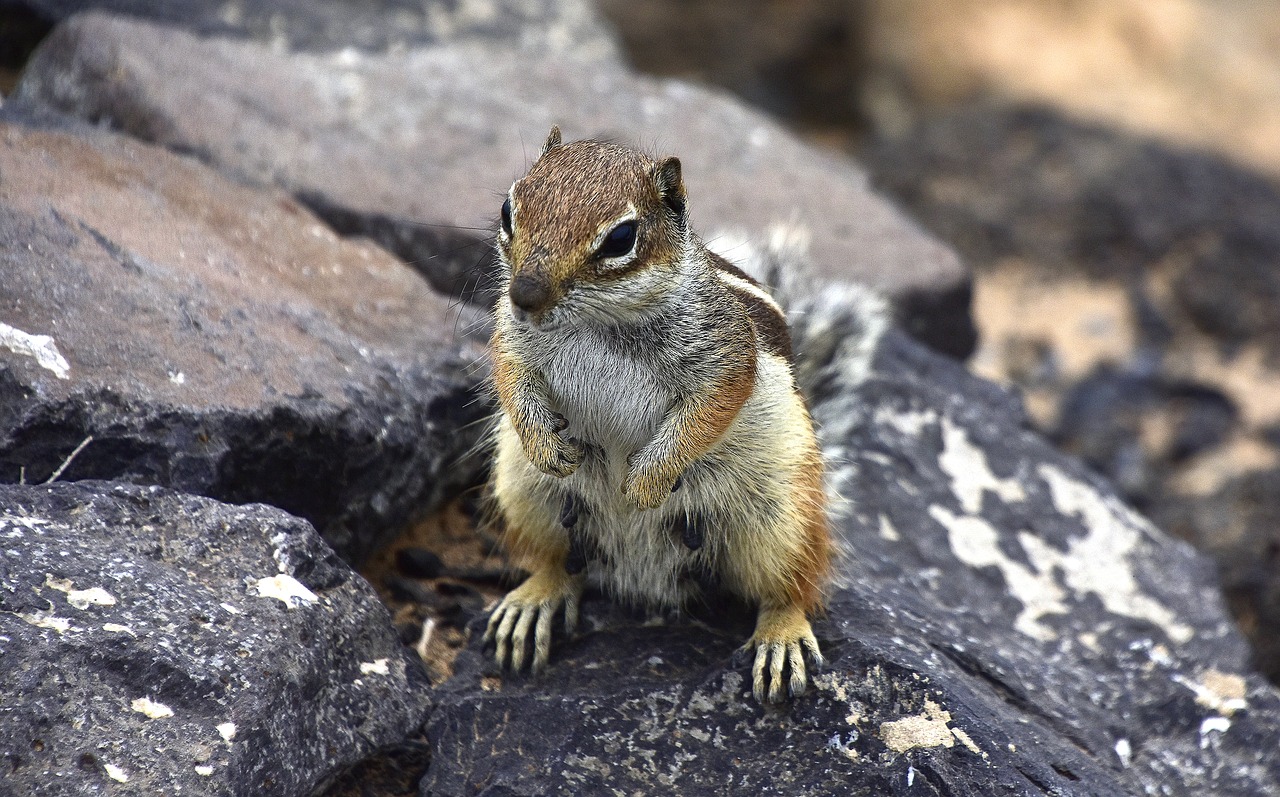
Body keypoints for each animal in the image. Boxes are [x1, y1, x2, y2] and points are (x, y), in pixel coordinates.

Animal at [481, 126, 829, 706]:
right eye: (509, 209)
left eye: (621, 238)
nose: (524, 294)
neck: (599, 322)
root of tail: (646, 578)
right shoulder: (512, 335)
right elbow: (510, 373)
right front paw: (545, 443)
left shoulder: (724, 357)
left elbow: (708, 412)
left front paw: (645, 482)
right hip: (526, 492)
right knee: (559, 562)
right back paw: (533, 601)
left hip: (782, 517)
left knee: (789, 587)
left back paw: (781, 636)